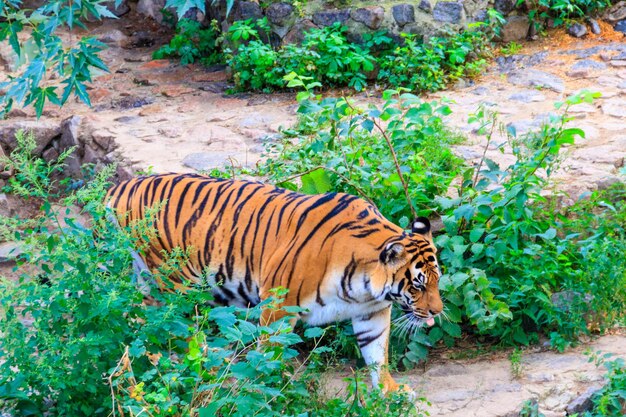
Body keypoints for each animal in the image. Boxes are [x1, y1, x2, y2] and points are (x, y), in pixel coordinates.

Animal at [105, 171, 442, 390]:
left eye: (437, 281)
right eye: (418, 285)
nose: (437, 312)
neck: (363, 286)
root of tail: (121, 186)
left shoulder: (372, 312)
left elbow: (376, 353)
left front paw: (390, 392)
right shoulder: (279, 306)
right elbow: (269, 354)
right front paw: (273, 387)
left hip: (146, 278)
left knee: (139, 318)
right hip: (176, 284)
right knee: (169, 325)